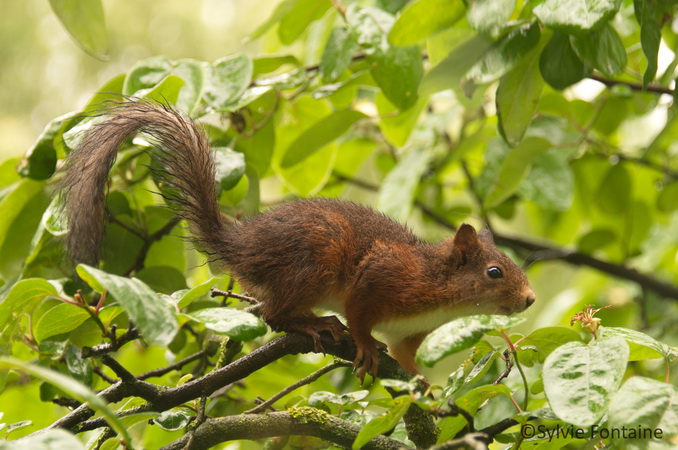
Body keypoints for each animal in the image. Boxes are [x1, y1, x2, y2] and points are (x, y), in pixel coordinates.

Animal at [61, 101, 540, 380]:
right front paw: (365, 345)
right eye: (494, 272)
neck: (439, 289)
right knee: (273, 315)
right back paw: (315, 324)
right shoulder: (381, 277)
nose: (530, 299)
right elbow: (361, 317)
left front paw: (424, 385)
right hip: (316, 261)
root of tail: (243, 247)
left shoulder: (410, 334)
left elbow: (405, 356)